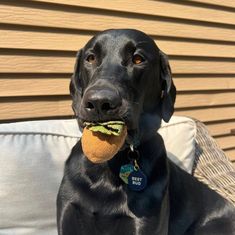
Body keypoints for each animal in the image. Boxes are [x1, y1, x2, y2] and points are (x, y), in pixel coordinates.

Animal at [57, 29, 235, 235]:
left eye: (138, 59)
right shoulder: (69, 213)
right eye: (91, 58)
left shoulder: (144, 223)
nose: (100, 102)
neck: (110, 165)